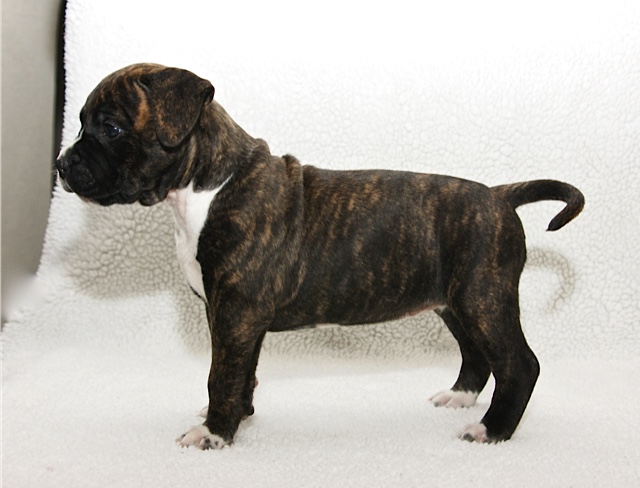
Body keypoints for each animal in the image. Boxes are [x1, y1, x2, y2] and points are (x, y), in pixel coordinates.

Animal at [56, 63, 584, 449]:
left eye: (112, 127)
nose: (62, 164)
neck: (209, 185)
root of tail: (499, 196)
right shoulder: (234, 317)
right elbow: (241, 371)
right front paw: (239, 417)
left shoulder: (235, 313)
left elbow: (220, 374)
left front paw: (214, 433)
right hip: (454, 303)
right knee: (477, 354)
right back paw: (460, 398)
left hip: (482, 298)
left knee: (519, 364)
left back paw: (492, 430)